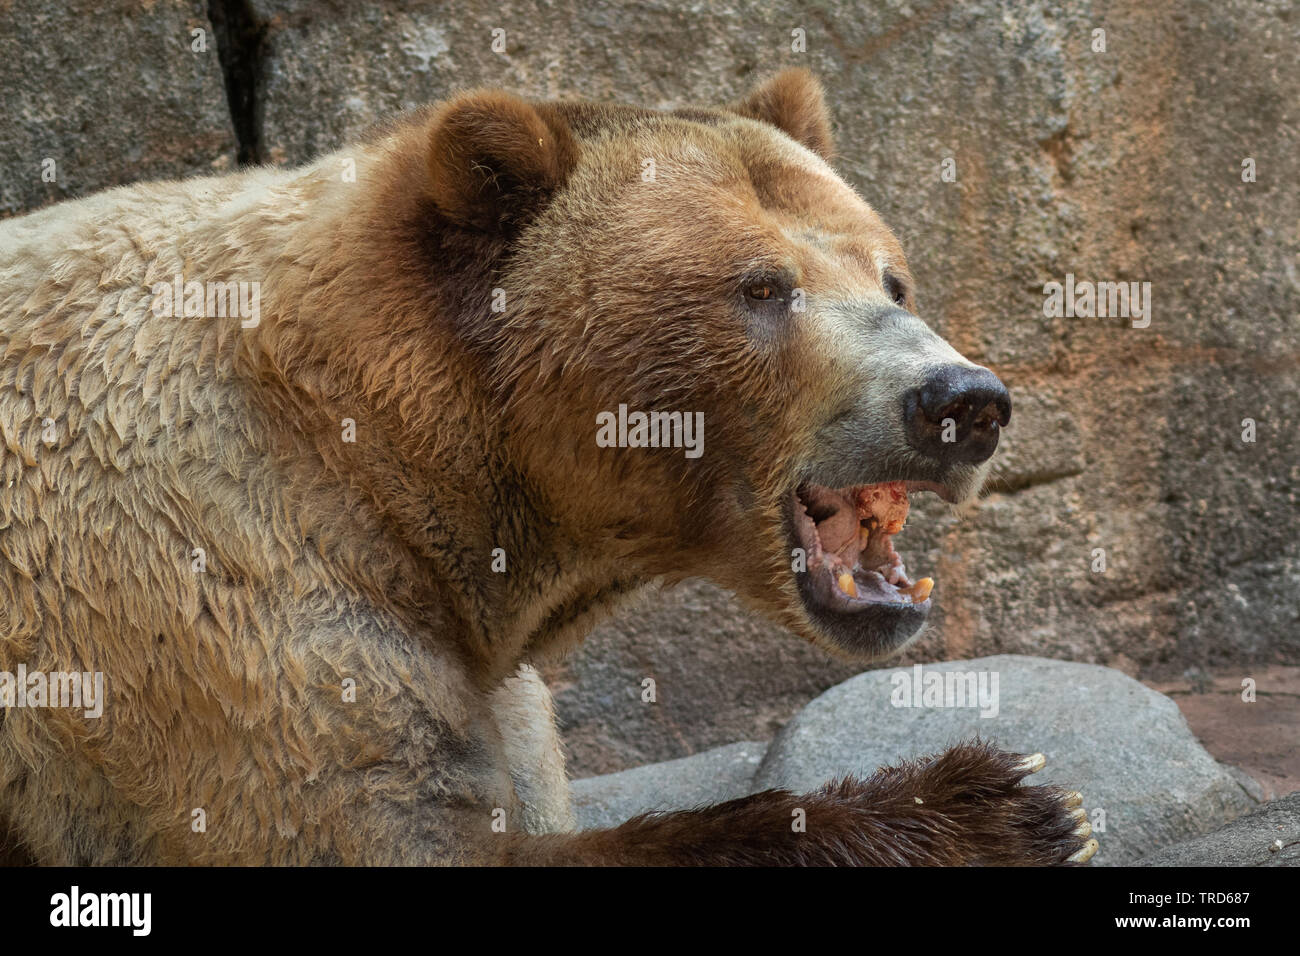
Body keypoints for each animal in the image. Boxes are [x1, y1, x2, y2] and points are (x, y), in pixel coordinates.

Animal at [0, 69, 1097, 868]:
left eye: (890, 276)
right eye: (761, 286)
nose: (962, 401)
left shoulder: (487, 677)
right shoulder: (218, 597)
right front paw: (1003, 802)